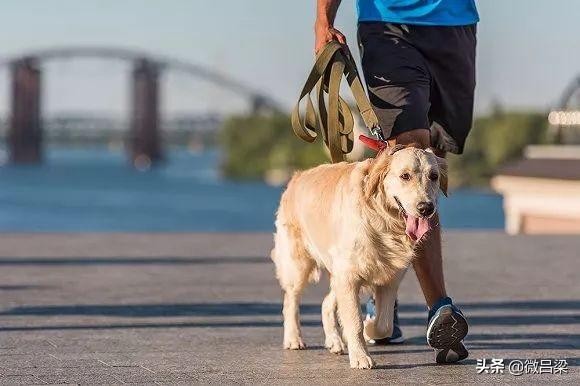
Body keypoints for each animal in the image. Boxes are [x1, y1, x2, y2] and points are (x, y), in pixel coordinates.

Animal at [272, 142, 448, 368]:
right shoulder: (349, 276)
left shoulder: (389, 279)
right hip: (299, 265)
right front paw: (360, 357)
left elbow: (384, 324)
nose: (426, 208)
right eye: (405, 176)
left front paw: (369, 330)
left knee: (326, 303)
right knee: (291, 301)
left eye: (434, 176)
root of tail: (297, 177)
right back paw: (294, 338)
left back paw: (335, 341)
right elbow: (354, 320)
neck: (383, 219)